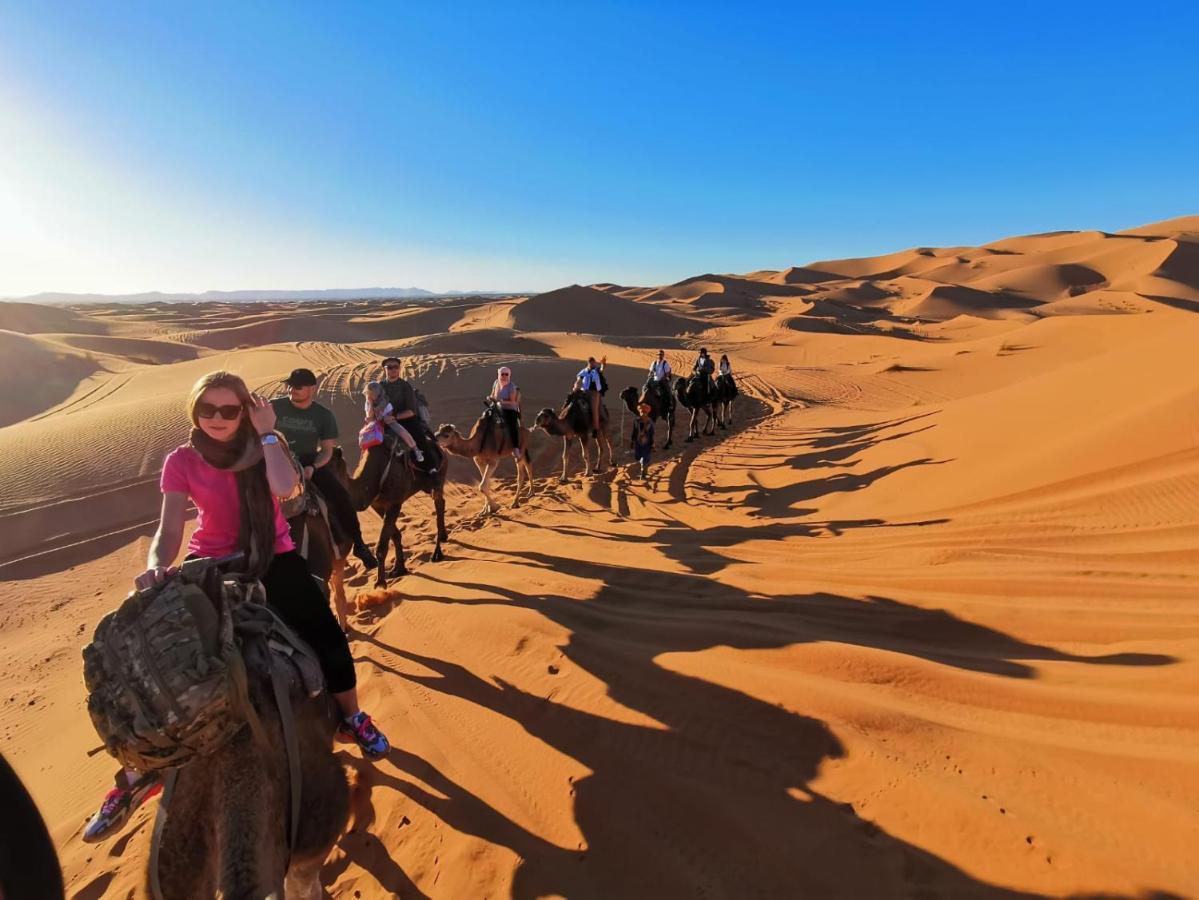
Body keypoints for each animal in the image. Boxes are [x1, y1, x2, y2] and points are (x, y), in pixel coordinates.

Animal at [328, 438, 450, 592]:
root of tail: (441, 448)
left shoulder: (395, 503)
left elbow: (382, 547)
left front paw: (380, 582)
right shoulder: (378, 505)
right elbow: (395, 535)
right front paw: (399, 569)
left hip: (439, 477)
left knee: (439, 505)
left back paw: (437, 554)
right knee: (442, 502)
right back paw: (444, 536)